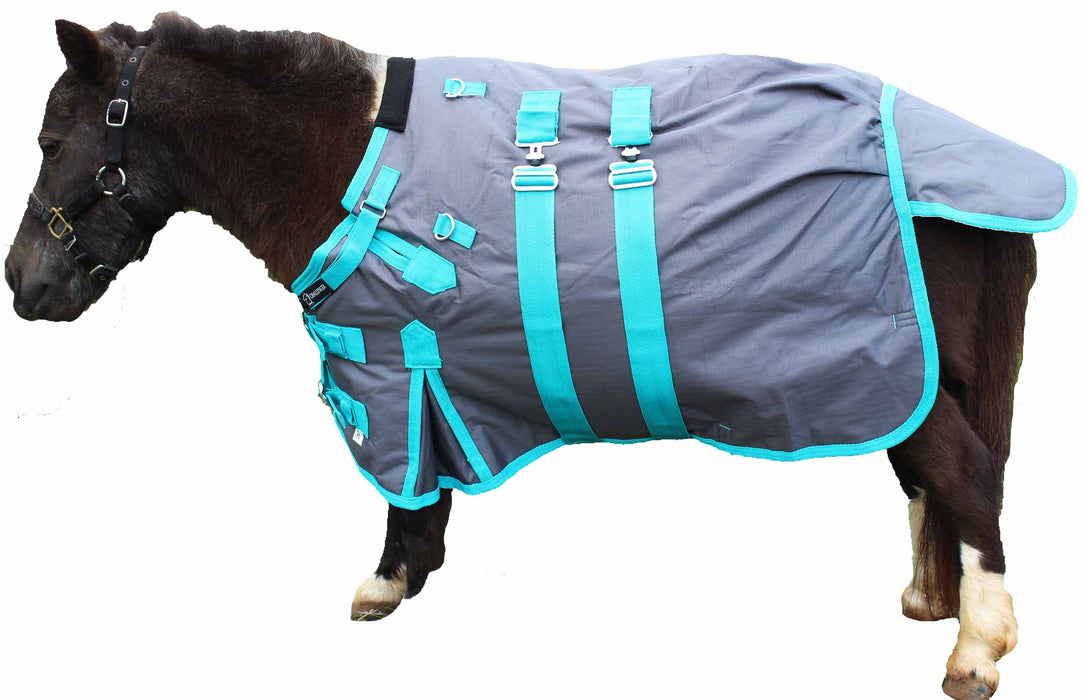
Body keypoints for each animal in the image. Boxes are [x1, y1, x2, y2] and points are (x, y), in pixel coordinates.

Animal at [5, 14, 1066, 699]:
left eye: (52, 138)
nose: (22, 284)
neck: (348, 155)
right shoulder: (426, 374)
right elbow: (427, 489)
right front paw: (412, 576)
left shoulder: (389, 369)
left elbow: (404, 485)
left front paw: (387, 582)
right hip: (910, 377)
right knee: (929, 481)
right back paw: (928, 599)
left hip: (885, 370)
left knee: (965, 474)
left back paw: (976, 648)